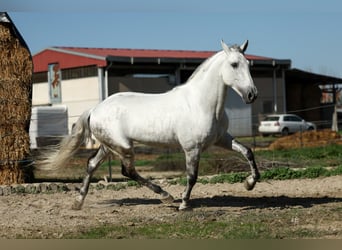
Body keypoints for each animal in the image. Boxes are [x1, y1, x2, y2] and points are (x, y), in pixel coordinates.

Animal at [40, 40, 260, 210]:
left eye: (248, 64)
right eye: (234, 64)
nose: (252, 94)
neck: (200, 103)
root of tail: (95, 109)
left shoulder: (222, 139)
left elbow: (247, 152)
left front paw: (249, 183)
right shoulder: (192, 148)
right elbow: (192, 176)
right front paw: (184, 204)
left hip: (109, 146)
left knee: (92, 164)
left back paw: (78, 202)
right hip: (123, 146)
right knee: (127, 171)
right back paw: (166, 196)